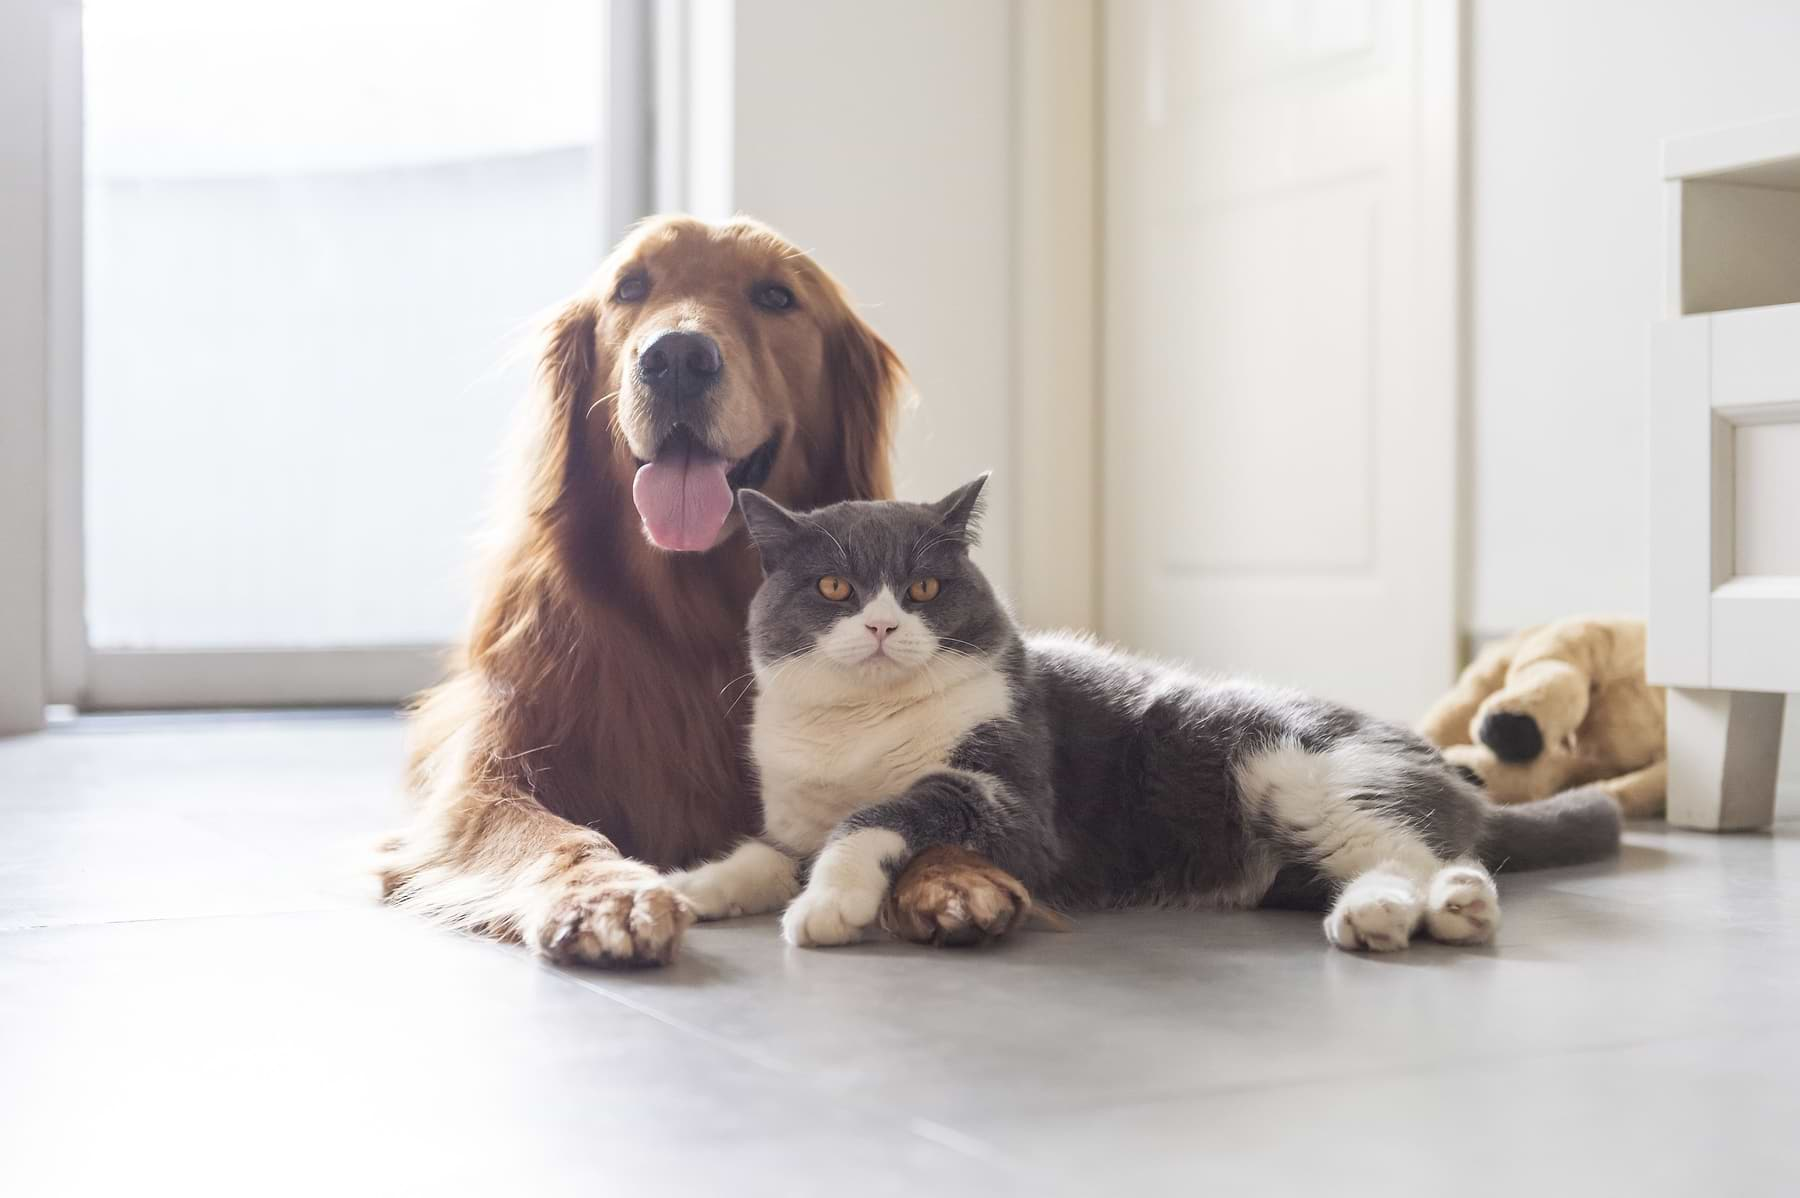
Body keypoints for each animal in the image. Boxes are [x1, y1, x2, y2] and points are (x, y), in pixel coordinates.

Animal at [376, 216, 1029, 964]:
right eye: (630, 287)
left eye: (775, 296)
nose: (678, 358)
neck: (693, 611)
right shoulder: (492, 770)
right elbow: (553, 834)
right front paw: (608, 894)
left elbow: (933, 796)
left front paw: (953, 872)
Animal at [669, 471, 1627, 949]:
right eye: (833, 587)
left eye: (924, 588)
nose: (879, 624)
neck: (857, 731)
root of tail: (1449, 771)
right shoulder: (791, 817)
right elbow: (761, 855)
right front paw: (686, 889)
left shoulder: (1012, 804)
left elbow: (873, 819)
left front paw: (827, 905)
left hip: (1301, 771)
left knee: (1415, 852)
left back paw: (1408, 912)